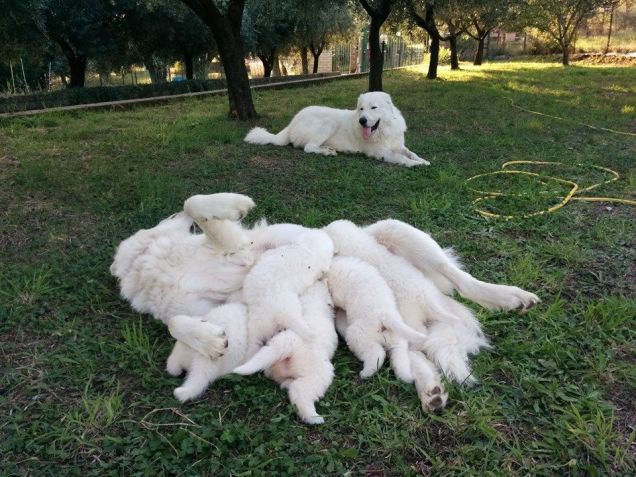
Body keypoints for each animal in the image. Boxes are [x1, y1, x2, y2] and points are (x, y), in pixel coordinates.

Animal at [242, 91, 428, 167]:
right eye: (361, 108)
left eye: (374, 108)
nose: (362, 121)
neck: (384, 130)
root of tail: (291, 123)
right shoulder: (381, 152)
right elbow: (401, 158)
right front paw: (414, 164)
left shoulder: (397, 145)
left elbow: (410, 152)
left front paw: (422, 160)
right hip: (329, 122)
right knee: (308, 147)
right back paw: (327, 151)